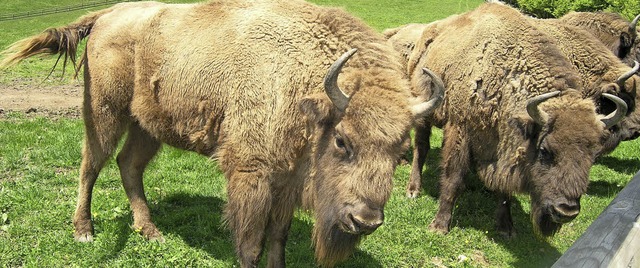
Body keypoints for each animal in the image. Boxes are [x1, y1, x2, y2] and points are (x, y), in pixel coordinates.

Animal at [0, 0, 444, 266]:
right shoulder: (250, 173)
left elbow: (278, 236)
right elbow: (250, 239)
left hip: (148, 126)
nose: (364, 220)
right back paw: (84, 232)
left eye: (400, 153)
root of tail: (109, 14)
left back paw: (152, 232)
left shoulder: (289, 178)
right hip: (105, 112)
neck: (306, 84)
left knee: (129, 165)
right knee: (90, 166)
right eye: (342, 141)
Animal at [384, 2, 624, 237]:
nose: (566, 211)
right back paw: (413, 190)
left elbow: (504, 188)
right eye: (545, 150)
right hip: (426, 109)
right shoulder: (460, 130)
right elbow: (453, 177)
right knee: (421, 148)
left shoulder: (503, 147)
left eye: (593, 155)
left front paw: (506, 227)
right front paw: (439, 226)